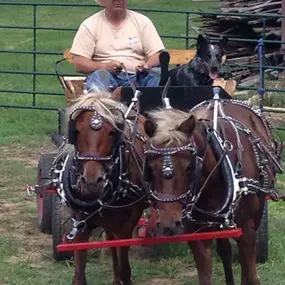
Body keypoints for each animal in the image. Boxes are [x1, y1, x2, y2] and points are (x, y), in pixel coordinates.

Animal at [62, 90, 149, 284]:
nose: (92, 182)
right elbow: (79, 276)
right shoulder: (80, 224)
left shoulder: (126, 227)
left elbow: (125, 269)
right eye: (76, 130)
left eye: (112, 132)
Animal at [143, 98, 280, 284]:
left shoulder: (247, 229)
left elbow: (251, 275)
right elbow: (206, 276)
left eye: (189, 167)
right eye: (150, 168)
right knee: (225, 251)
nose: (169, 224)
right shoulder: (197, 235)